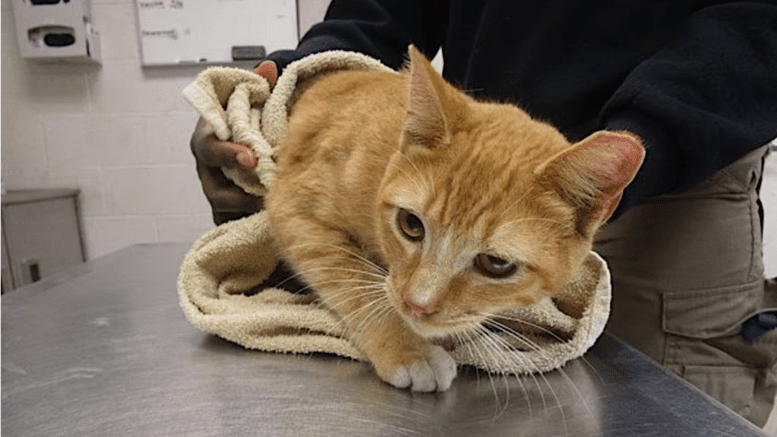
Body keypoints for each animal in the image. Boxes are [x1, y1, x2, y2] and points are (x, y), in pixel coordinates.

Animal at [176, 49, 620, 378]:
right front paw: (408, 349)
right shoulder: (293, 210)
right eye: (411, 226)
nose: (417, 306)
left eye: (496, 264)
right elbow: (352, 279)